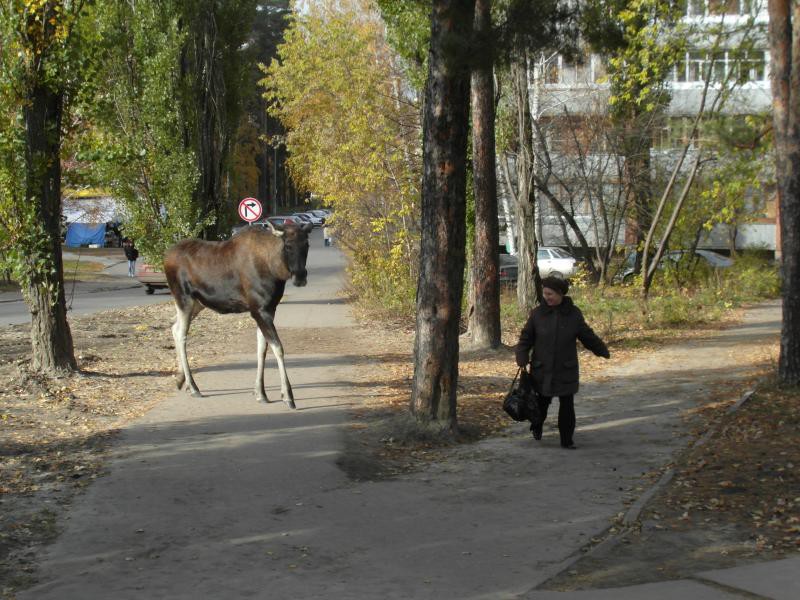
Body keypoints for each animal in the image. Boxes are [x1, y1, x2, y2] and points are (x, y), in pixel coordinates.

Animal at [162, 220, 310, 408]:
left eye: (307, 244)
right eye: (288, 245)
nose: (300, 277)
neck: (275, 270)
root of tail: (166, 257)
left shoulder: (269, 309)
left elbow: (262, 349)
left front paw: (260, 392)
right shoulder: (259, 310)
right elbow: (278, 348)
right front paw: (287, 395)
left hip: (197, 304)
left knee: (174, 327)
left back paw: (182, 380)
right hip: (184, 299)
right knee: (181, 334)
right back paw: (194, 387)